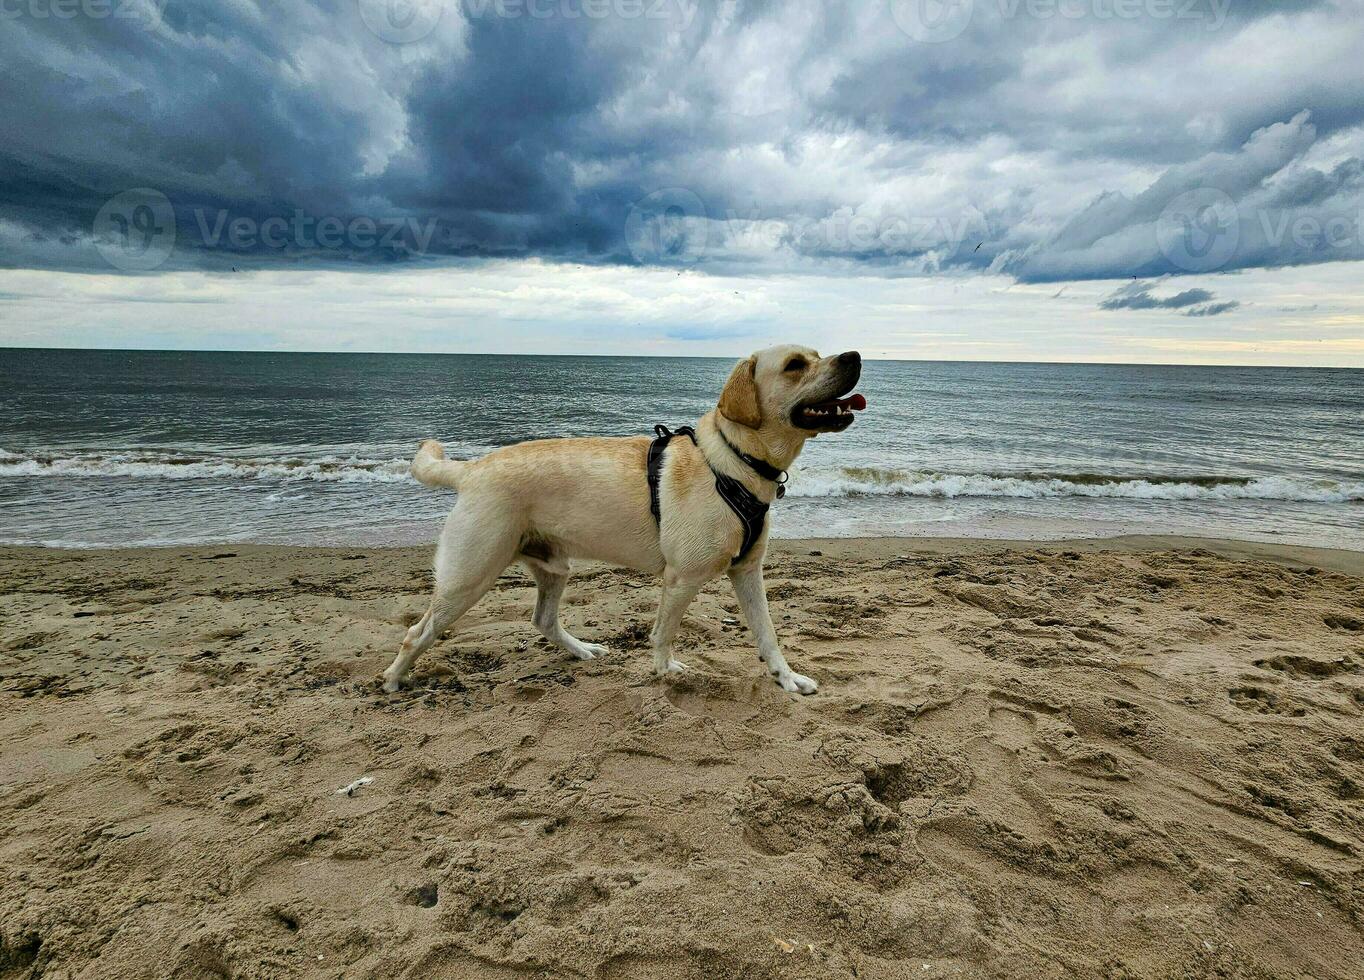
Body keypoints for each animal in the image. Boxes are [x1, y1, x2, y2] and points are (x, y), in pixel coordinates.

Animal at [387, 345, 862, 698]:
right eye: (795, 365)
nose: (854, 356)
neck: (736, 459)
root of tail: (471, 470)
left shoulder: (747, 571)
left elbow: (767, 633)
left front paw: (786, 677)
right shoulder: (683, 578)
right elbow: (663, 633)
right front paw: (665, 673)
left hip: (553, 567)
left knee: (543, 620)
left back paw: (581, 650)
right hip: (470, 574)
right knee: (417, 631)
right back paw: (394, 680)